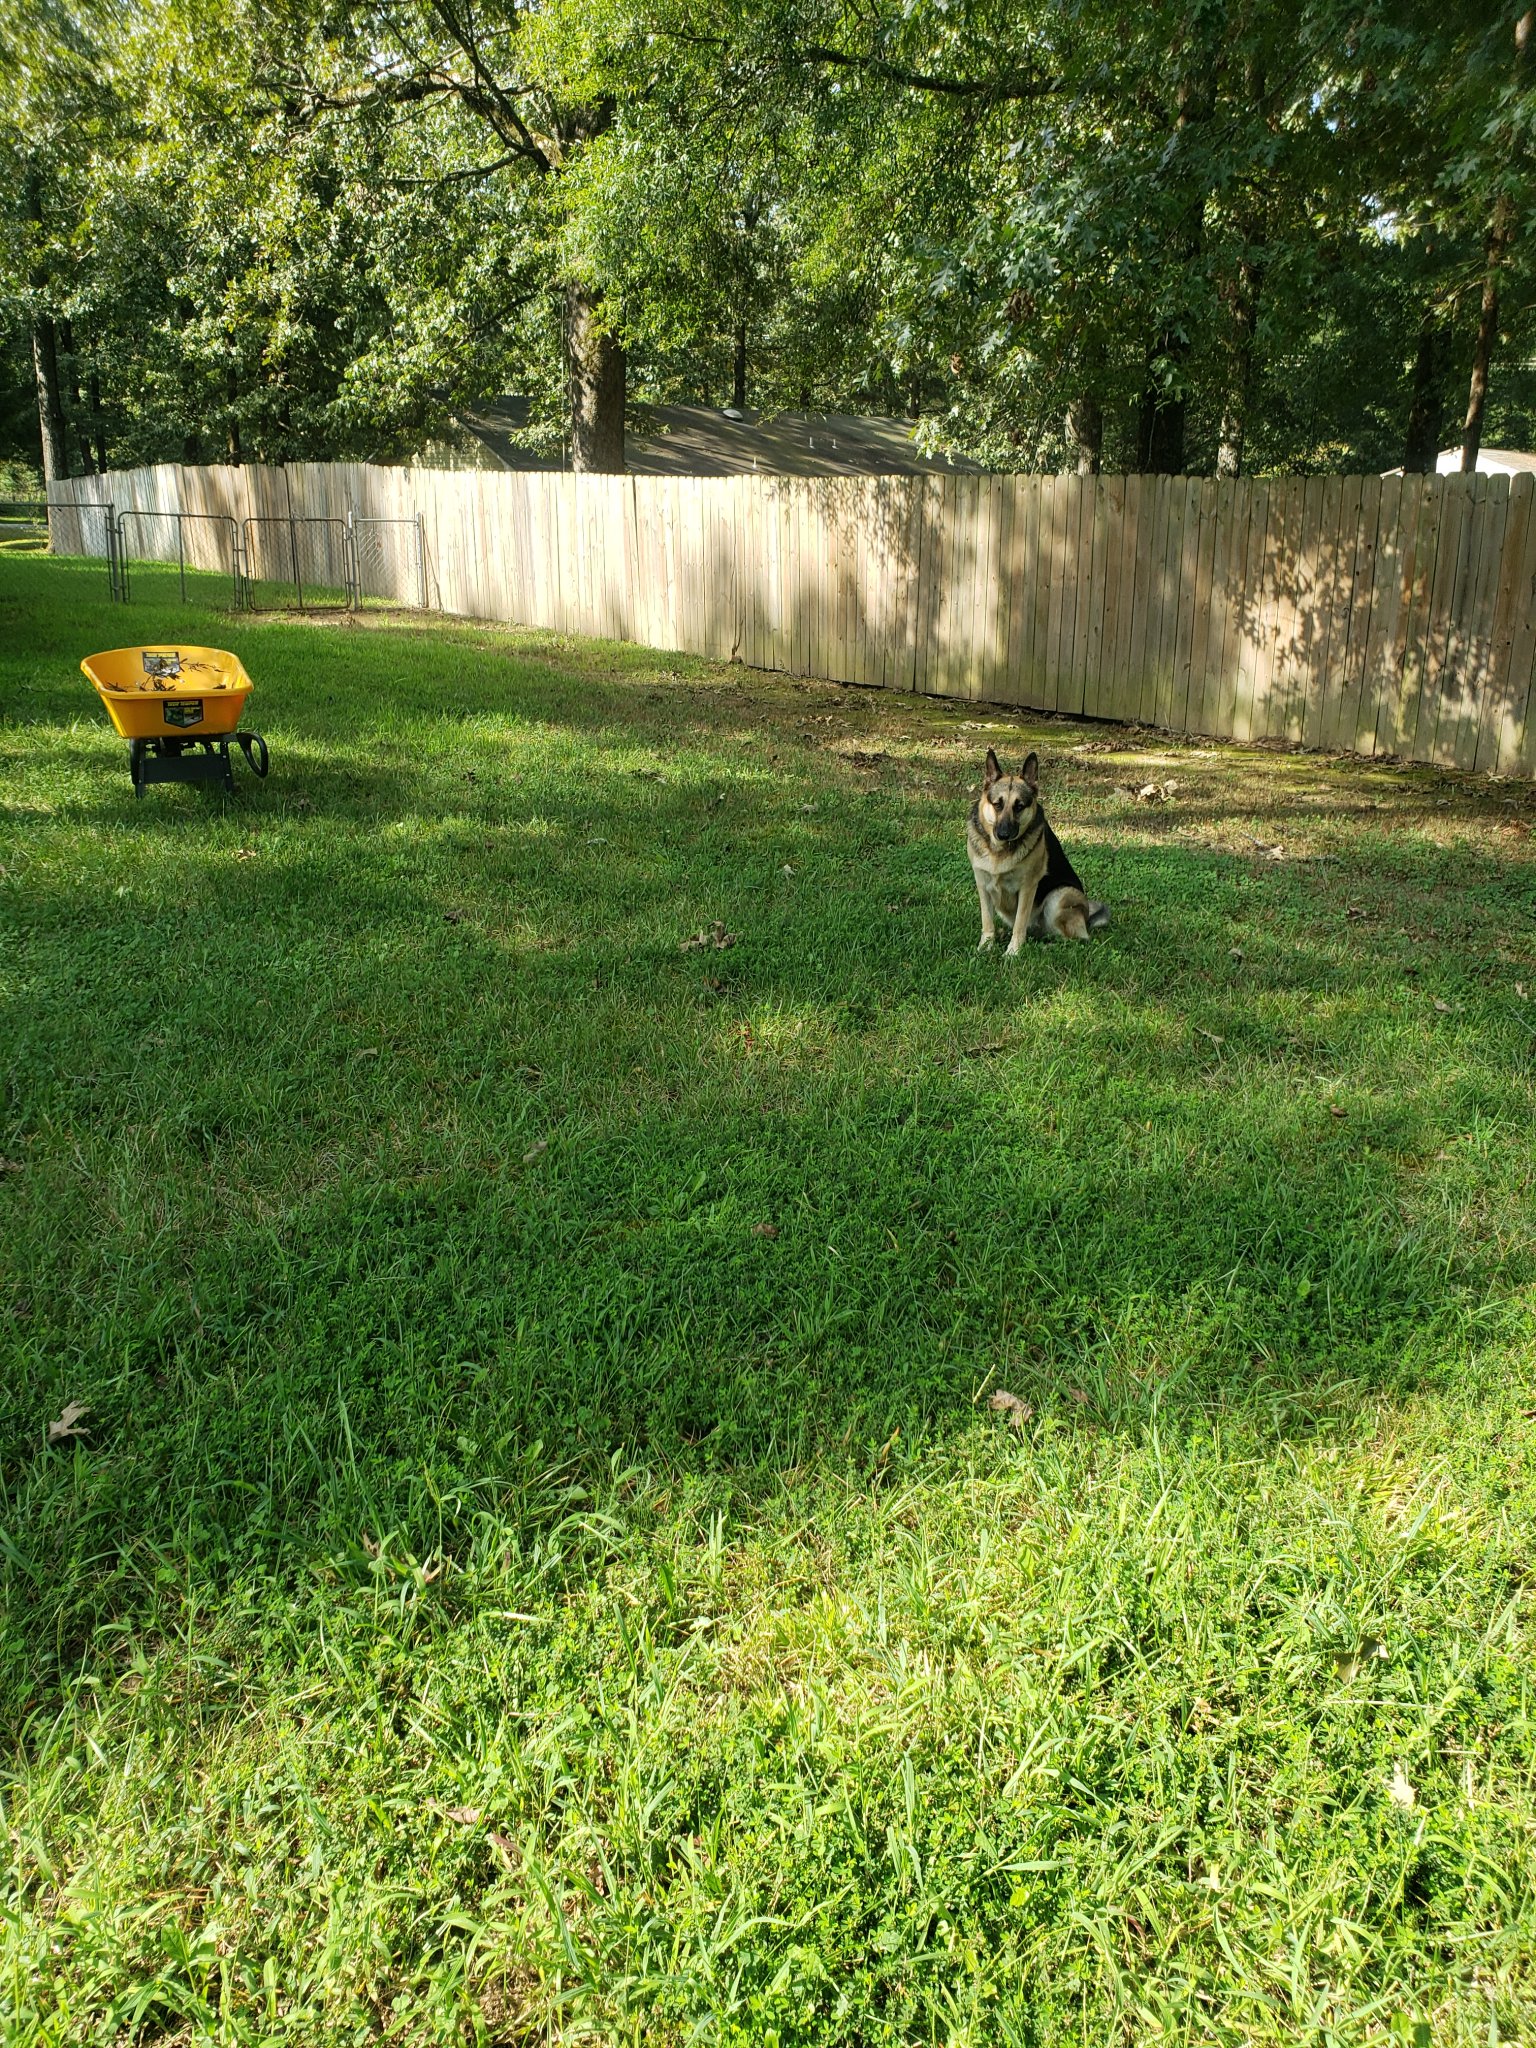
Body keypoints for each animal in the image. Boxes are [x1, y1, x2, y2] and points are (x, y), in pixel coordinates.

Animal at [967, 749, 1108, 952]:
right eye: (997, 804)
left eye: (1019, 806)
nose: (1004, 834)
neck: (999, 851)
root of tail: (1087, 917)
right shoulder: (982, 884)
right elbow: (987, 921)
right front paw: (985, 946)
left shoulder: (1028, 886)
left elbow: (1020, 923)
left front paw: (1013, 951)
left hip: (1059, 897)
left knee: (1075, 939)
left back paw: (1044, 947)